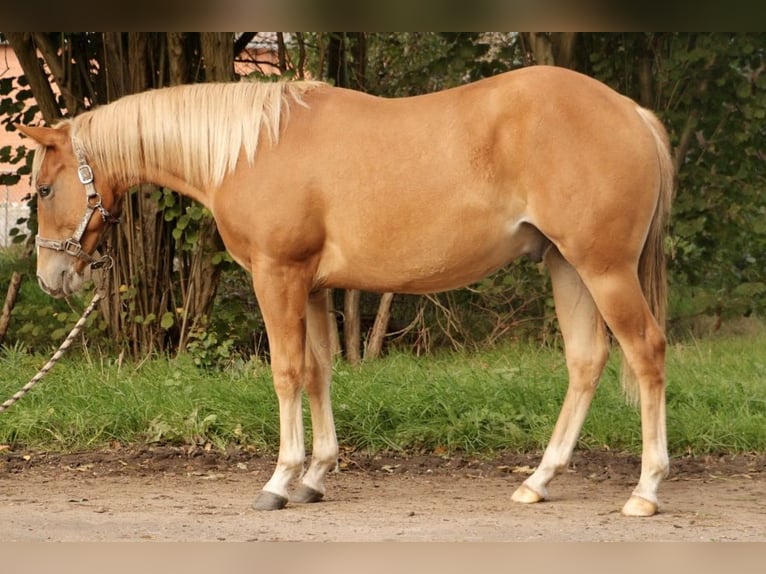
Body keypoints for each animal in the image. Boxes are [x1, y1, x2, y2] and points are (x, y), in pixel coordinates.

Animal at [18, 64, 674, 517]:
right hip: (567, 266)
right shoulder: (311, 285)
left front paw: (279, 481)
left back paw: (645, 490)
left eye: (44, 189)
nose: (53, 277)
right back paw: (539, 480)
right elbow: (317, 371)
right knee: (586, 361)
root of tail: (630, 112)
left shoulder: (277, 275)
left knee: (646, 353)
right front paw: (314, 476)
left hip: (604, 268)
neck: (250, 149)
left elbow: (285, 371)